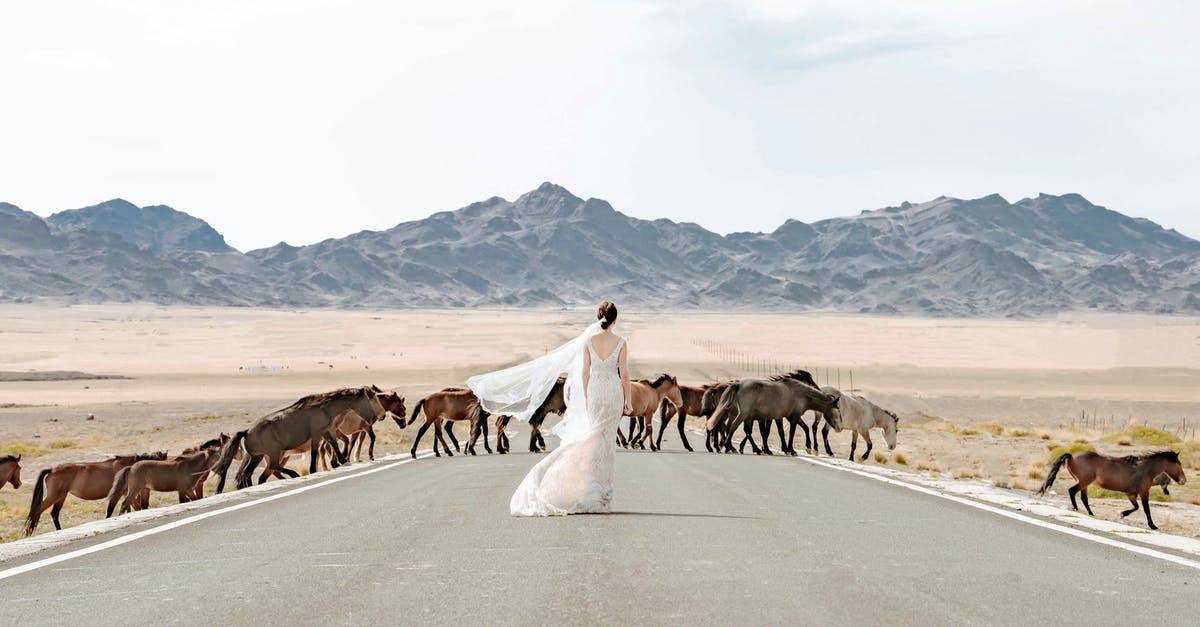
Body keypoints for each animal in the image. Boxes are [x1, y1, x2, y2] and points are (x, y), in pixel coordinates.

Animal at [26, 449, 168, 530]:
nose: (146, 503)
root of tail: (52, 469)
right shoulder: (119, 494)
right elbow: (111, 511)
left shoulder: (125, 494)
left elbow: (131, 509)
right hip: (54, 496)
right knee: (36, 511)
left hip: (61, 496)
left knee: (54, 514)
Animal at [217, 381, 384, 490]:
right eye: (369, 401)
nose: (374, 417)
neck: (324, 408)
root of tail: (247, 432)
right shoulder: (317, 435)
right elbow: (316, 452)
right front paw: (315, 469)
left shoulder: (325, 432)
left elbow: (334, 444)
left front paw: (342, 460)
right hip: (273, 452)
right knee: (272, 466)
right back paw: (294, 474)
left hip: (256, 456)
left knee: (247, 474)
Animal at [1036, 446, 1185, 528]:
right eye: (1178, 463)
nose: (1184, 480)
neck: (1145, 469)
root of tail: (1072, 456)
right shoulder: (1143, 492)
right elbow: (1146, 509)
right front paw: (1153, 526)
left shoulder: (1131, 494)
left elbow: (1136, 507)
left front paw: (1123, 514)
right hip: (1084, 481)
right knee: (1072, 491)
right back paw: (1076, 509)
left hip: (1084, 483)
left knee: (1083, 497)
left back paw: (1091, 513)